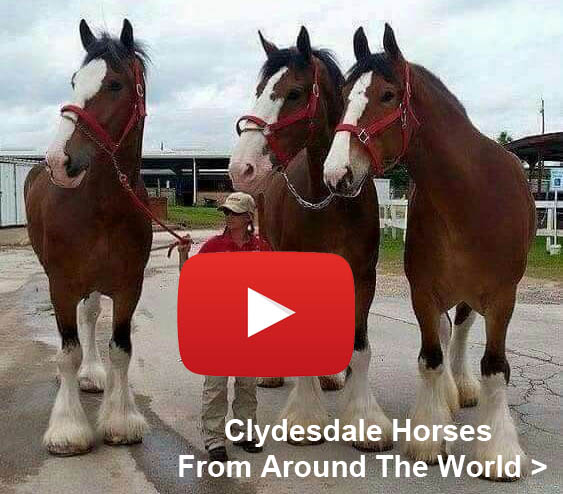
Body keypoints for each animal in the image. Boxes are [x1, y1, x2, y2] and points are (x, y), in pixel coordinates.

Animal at [24, 20, 152, 456]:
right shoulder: (61, 285)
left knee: (93, 314)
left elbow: (121, 350)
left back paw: (93, 374)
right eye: (74, 81)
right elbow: (67, 352)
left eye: (114, 84)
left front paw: (120, 419)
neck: (102, 207)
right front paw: (67, 429)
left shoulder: (129, 287)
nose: (58, 162)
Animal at [229, 27, 392, 452]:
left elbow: (360, 344)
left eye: (295, 93)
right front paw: (304, 419)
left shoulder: (362, 276)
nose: (241, 168)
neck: (330, 199)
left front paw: (364, 420)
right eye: (259, 89)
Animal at [324, 24, 536, 478]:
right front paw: (429, 437)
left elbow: (495, 368)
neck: (471, 197)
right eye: (346, 93)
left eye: (387, 95)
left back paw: (464, 388)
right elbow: (430, 359)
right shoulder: (422, 291)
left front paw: (499, 453)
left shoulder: (502, 298)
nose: (336, 174)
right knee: (444, 332)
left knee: (463, 329)